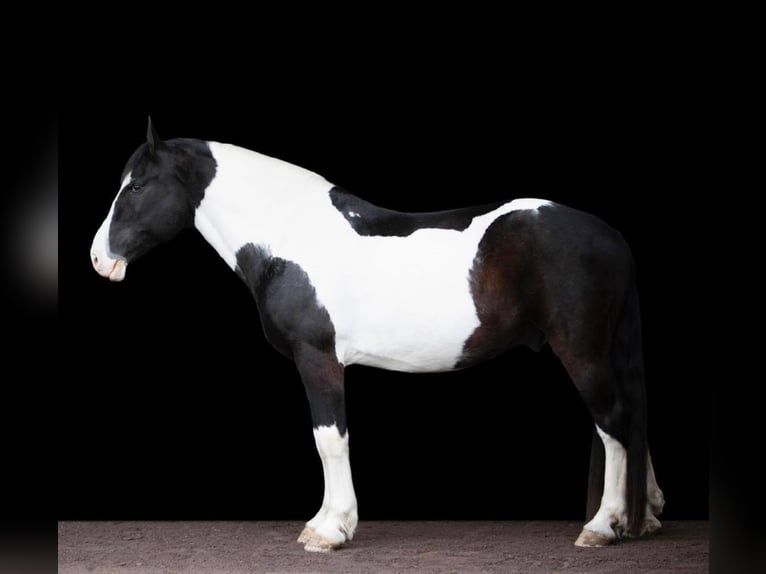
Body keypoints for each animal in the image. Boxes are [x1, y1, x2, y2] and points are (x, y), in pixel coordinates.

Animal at [90, 120, 664, 552]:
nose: (99, 258)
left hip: (581, 349)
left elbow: (329, 439)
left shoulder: (318, 359)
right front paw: (326, 523)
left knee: (614, 421)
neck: (289, 237)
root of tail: (613, 238)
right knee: (631, 418)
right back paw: (646, 515)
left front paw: (331, 529)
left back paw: (603, 525)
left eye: (136, 186)